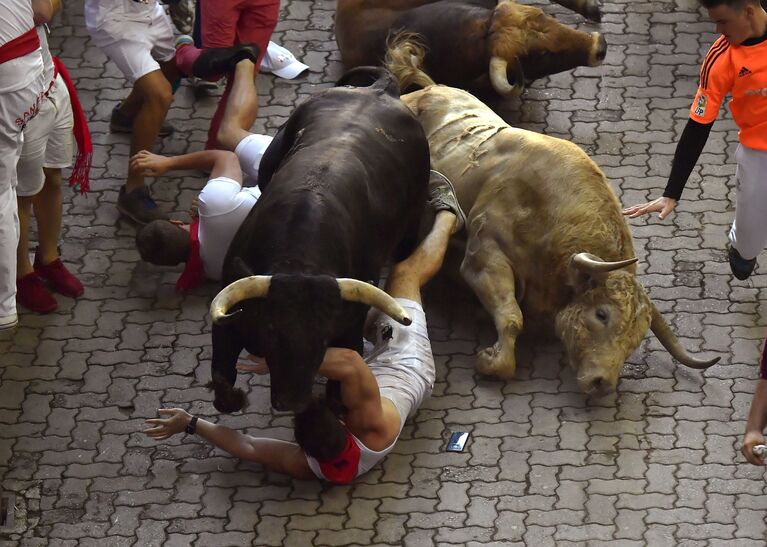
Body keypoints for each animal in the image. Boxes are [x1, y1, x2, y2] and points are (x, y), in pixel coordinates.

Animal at [207, 68, 428, 414]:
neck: (299, 259)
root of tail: (380, 89)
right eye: (271, 331)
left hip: (411, 224)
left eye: (323, 338)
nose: (292, 401)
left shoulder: (349, 327)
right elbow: (221, 382)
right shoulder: (227, 323)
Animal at [388, 40, 724, 396]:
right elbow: (511, 316)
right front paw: (492, 360)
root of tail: (428, 89)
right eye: (602, 314)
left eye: (635, 337)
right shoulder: (484, 255)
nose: (603, 382)